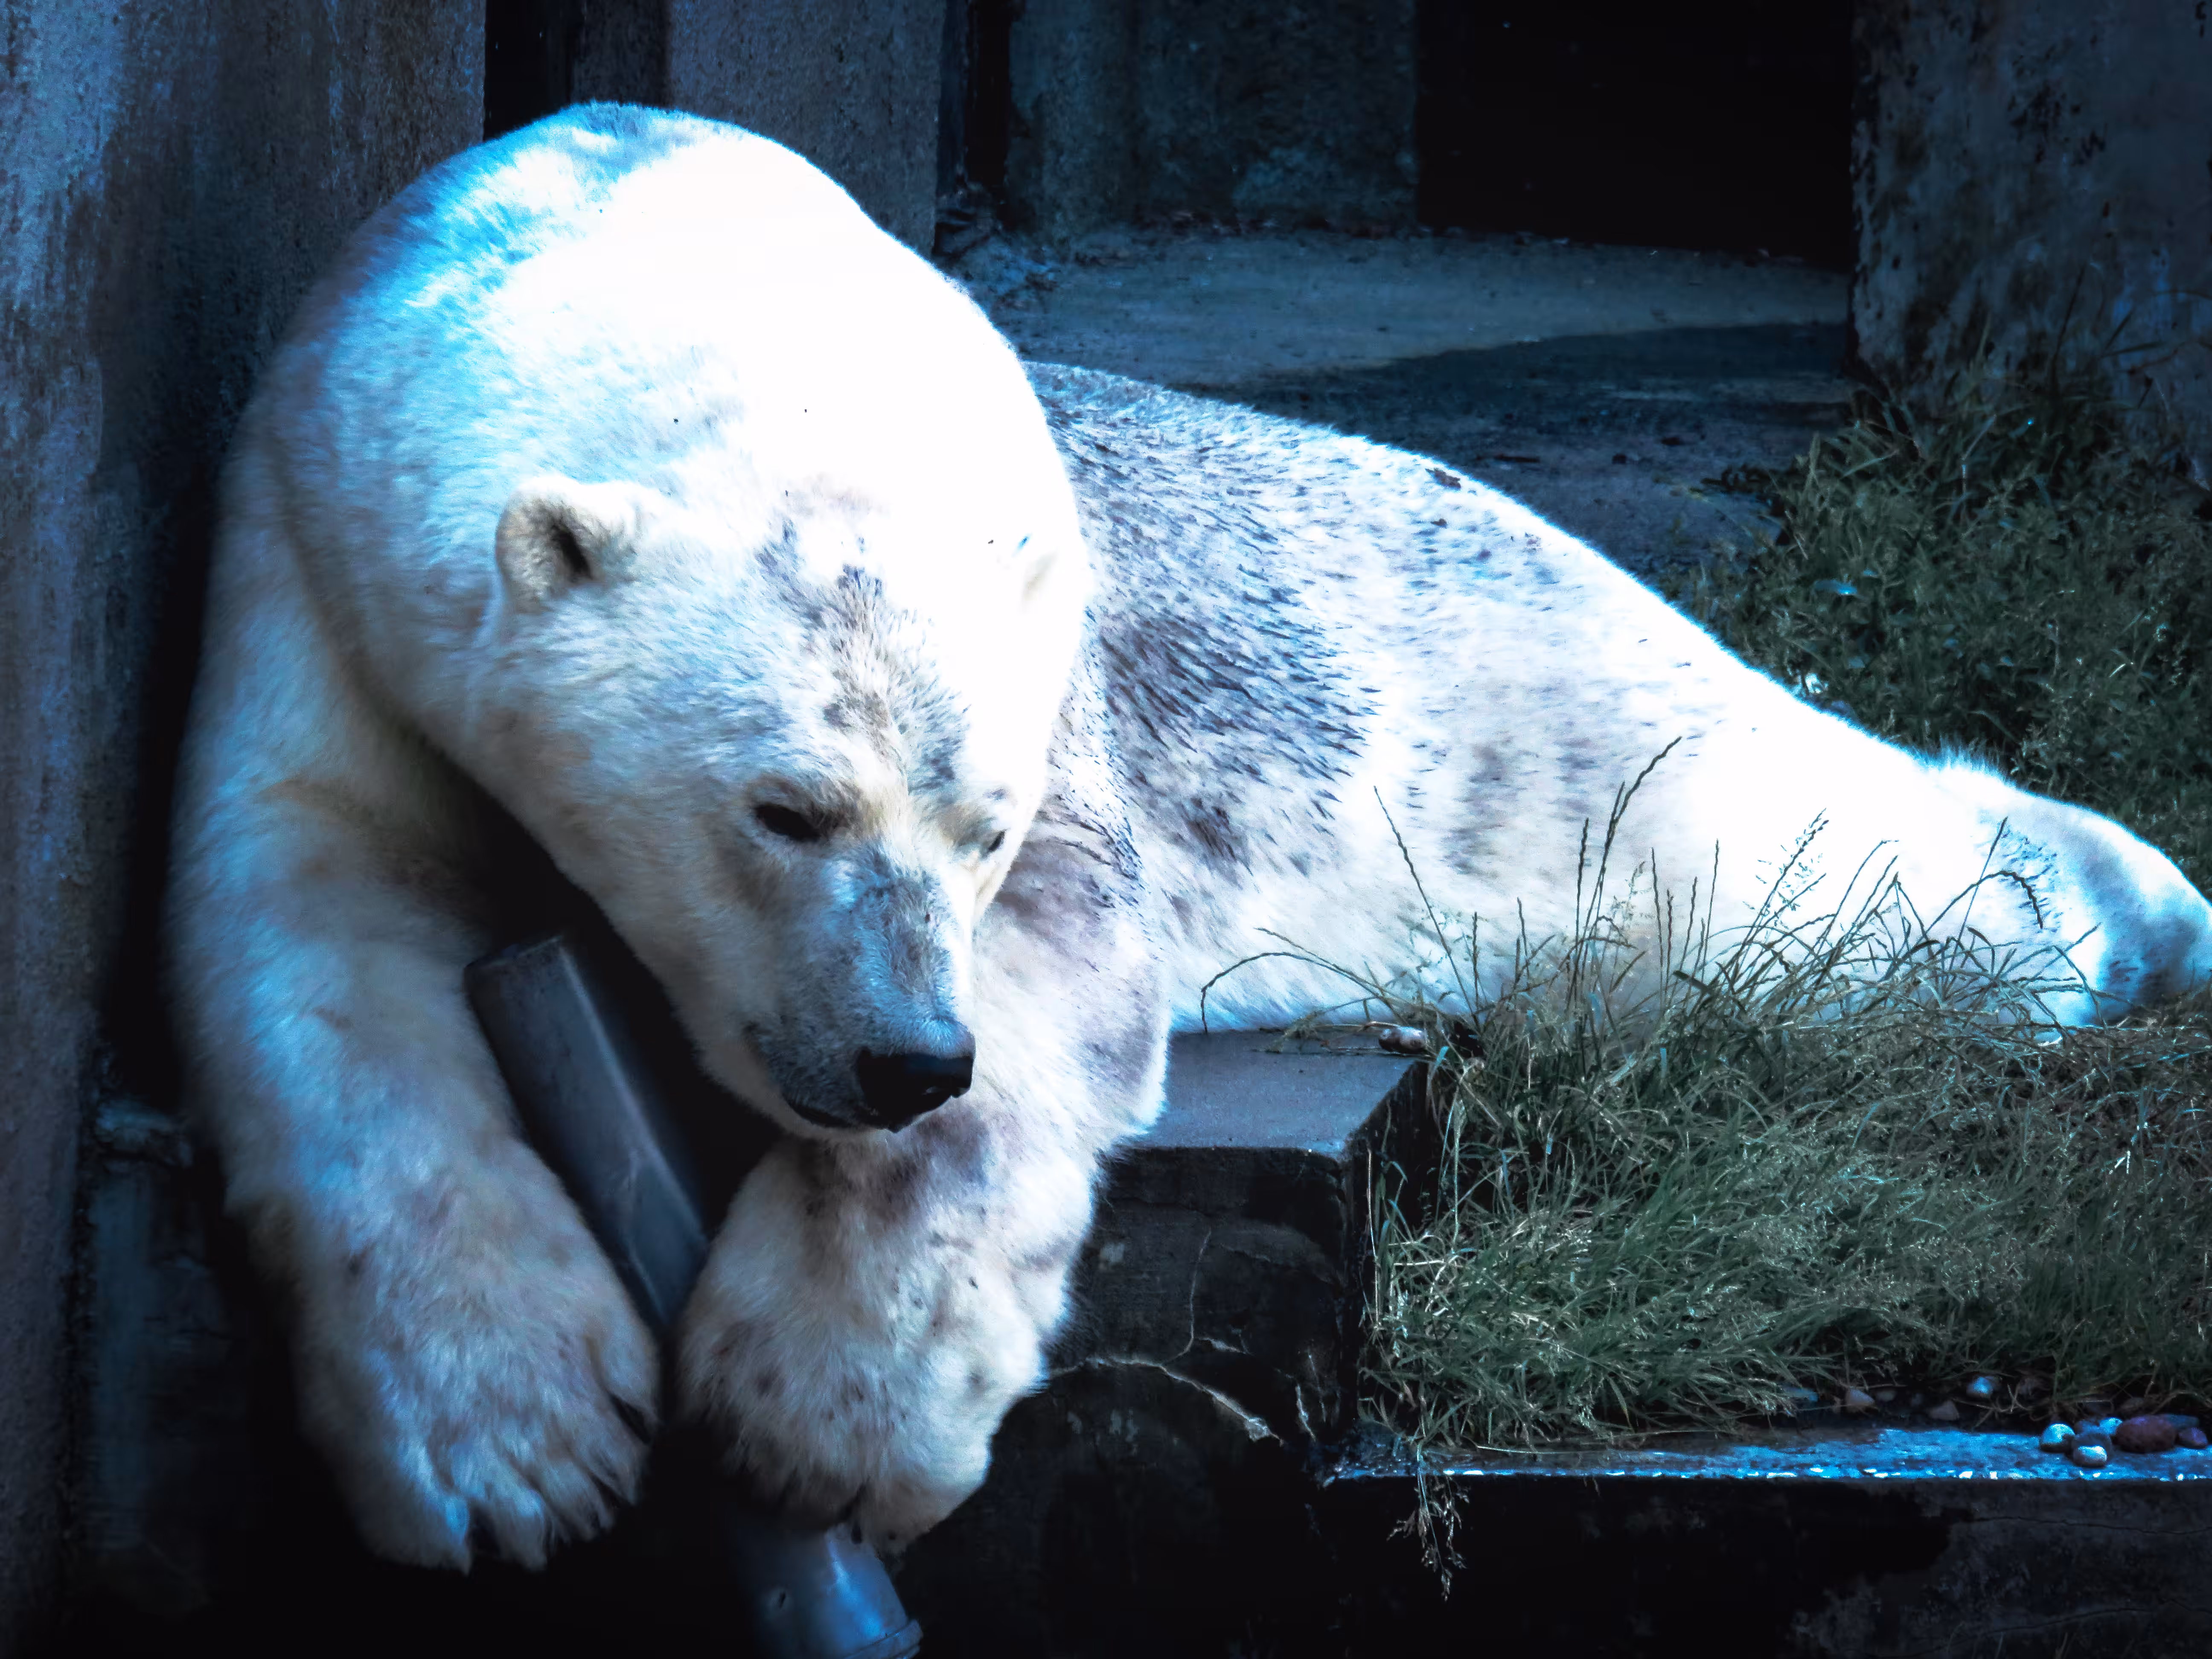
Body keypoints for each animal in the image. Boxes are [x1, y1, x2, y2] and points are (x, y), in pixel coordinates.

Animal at [167, 104, 2212, 1573]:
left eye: (980, 823)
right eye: (781, 805)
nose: (898, 1054)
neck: (663, 258)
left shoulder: (1056, 696)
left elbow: (1062, 960)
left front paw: (815, 1413)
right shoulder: (318, 526)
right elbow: (308, 895)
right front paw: (505, 1446)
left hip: (1576, 758)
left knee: (1840, 879)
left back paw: (2132, 893)